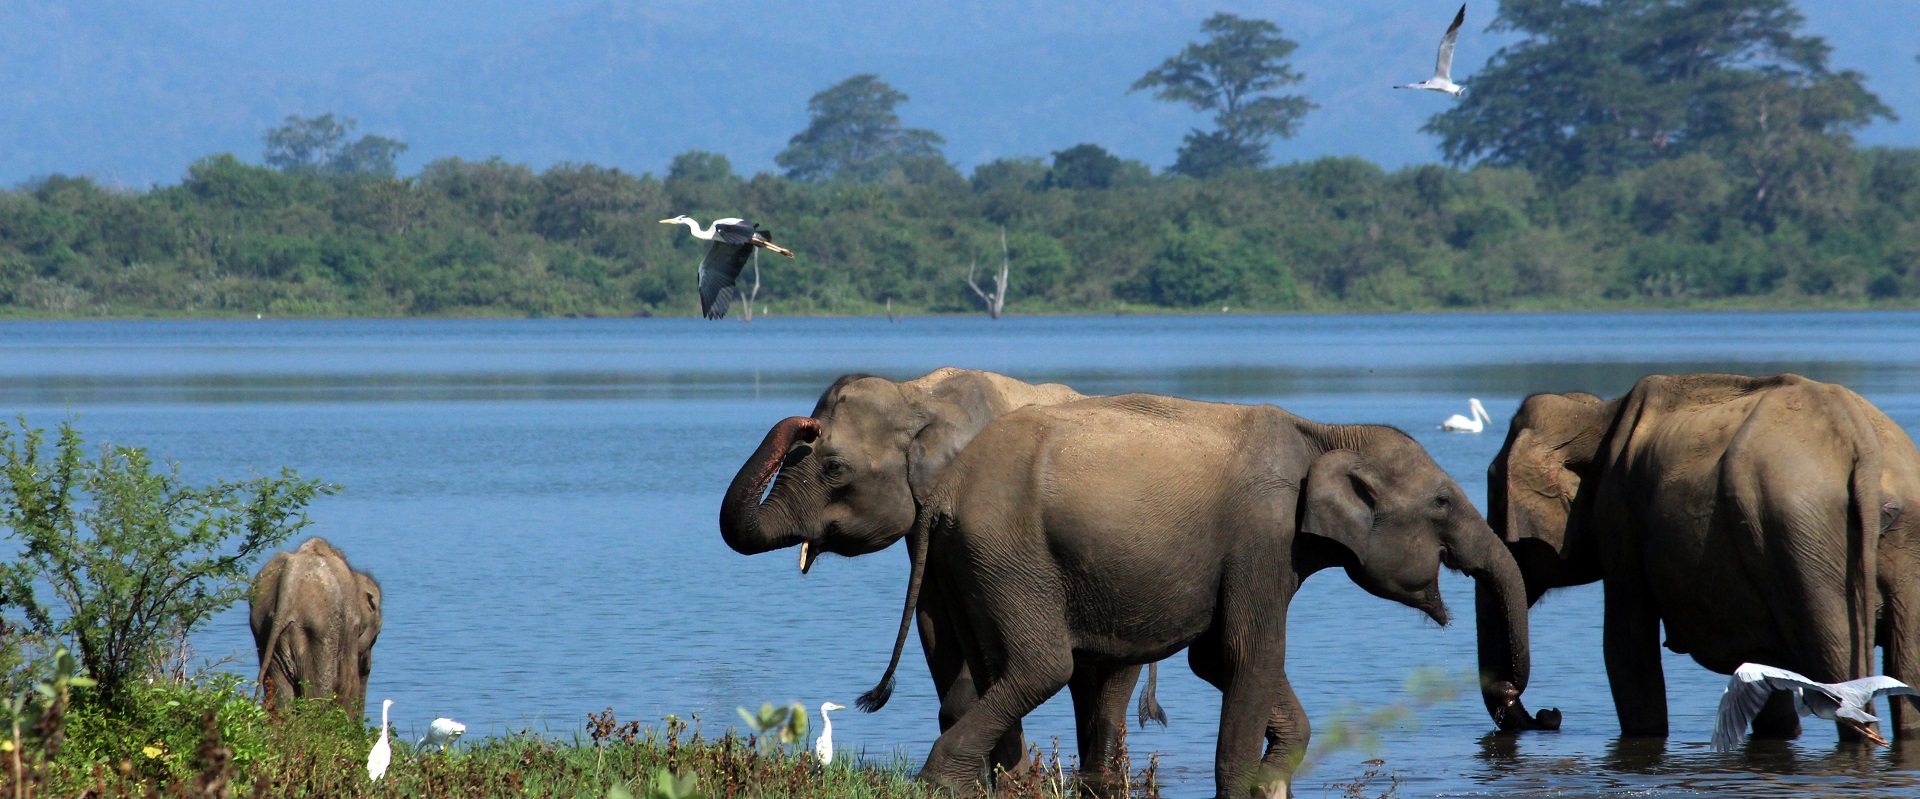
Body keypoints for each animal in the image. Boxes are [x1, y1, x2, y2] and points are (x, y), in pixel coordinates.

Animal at [247, 537, 382, 710]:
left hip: (263, 627)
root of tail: (290, 578)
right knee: (316, 694)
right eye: (377, 634)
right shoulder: (351, 624)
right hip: (318, 629)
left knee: (281, 696)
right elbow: (348, 684)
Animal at [860, 395, 1543, 799]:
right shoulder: (1262, 537)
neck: (1325, 433)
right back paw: (937, 783)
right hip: (1008, 554)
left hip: (963, 568)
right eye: (1442, 502)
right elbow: (1248, 656)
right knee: (1041, 666)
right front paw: (1249, 783)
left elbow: (1217, 660)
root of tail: (944, 493)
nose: (1518, 698)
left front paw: (1274, 771)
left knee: (986, 669)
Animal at [1482, 374, 1920, 741]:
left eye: (1494, 496)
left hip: (1805, 543)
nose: (1549, 714)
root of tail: (1862, 447)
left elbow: (1625, 645)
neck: (1599, 413)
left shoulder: (1619, 514)